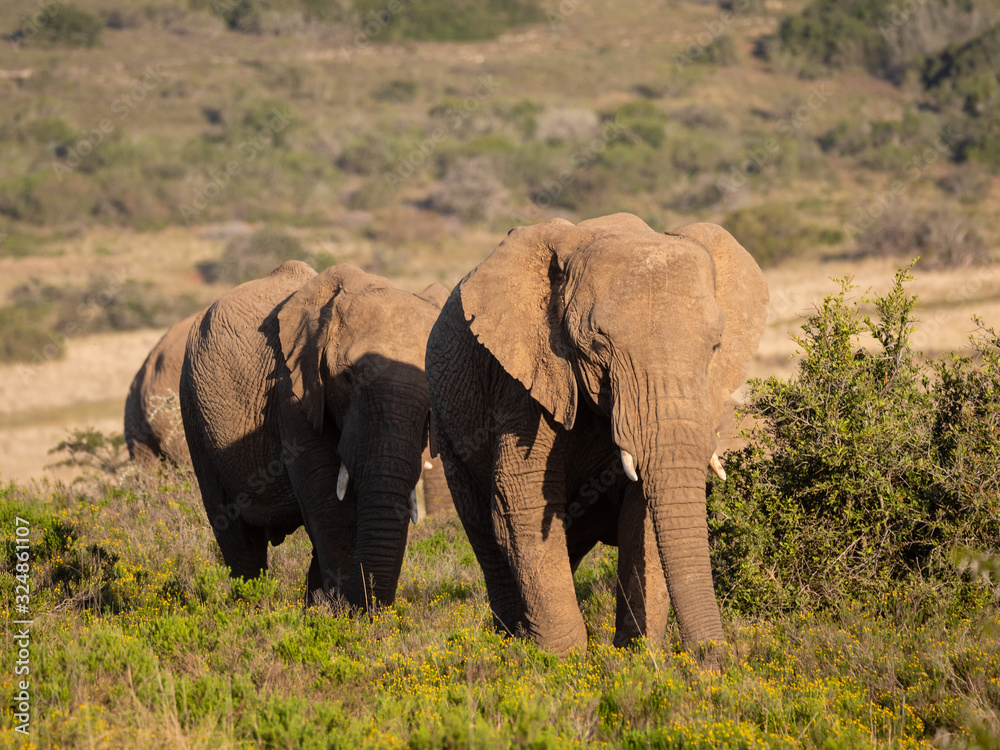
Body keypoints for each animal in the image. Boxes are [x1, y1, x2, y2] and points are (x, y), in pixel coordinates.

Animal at [180, 262, 446, 608]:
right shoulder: (292, 394)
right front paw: (338, 613)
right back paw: (249, 608)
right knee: (236, 535)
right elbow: (331, 508)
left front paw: (326, 611)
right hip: (194, 411)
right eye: (347, 378)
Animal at [426, 214, 768, 660]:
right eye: (599, 344)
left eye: (715, 346)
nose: (714, 661)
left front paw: (635, 658)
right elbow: (522, 499)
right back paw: (511, 641)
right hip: (448, 431)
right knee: (486, 532)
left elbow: (643, 513)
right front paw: (560, 662)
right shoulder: (520, 382)